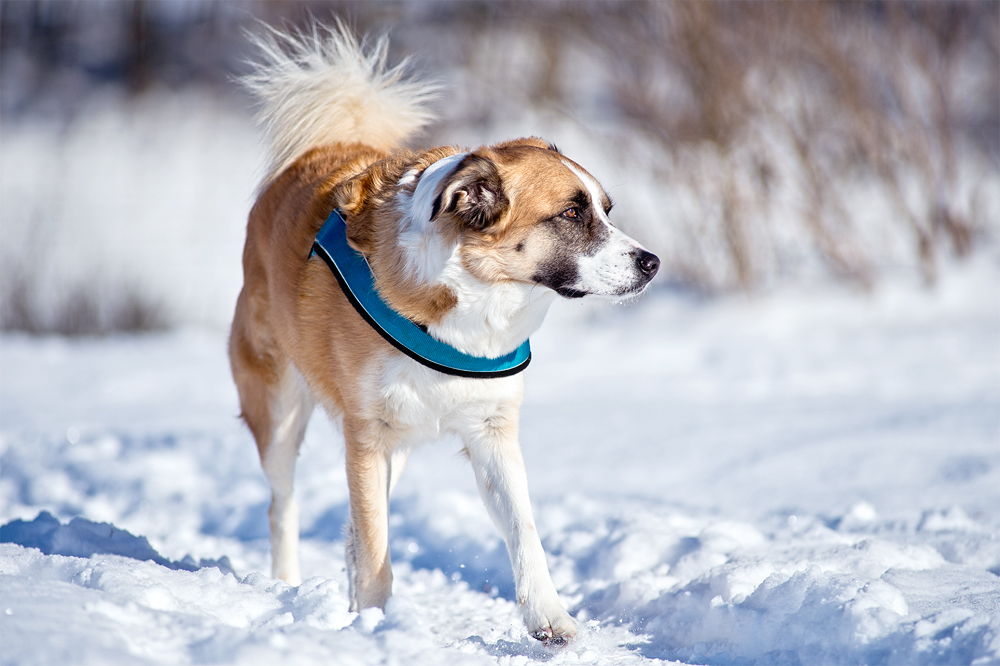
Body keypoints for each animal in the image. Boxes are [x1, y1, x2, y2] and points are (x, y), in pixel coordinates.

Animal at [230, 24, 660, 644]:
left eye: (604, 209)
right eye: (571, 214)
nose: (652, 263)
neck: (472, 301)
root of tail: (313, 153)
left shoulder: (491, 431)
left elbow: (524, 531)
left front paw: (550, 618)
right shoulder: (367, 434)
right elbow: (377, 546)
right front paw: (375, 628)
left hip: (400, 445)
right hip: (281, 407)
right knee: (283, 503)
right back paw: (290, 583)